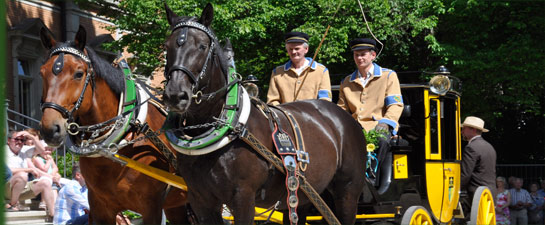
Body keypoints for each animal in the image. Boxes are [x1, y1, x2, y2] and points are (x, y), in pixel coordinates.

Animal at [162, 3, 366, 223]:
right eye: (166, 46)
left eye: (202, 46)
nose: (175, 95)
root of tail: (345, 117)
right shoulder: (201, 200)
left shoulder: (243, 197)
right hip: (303, 195)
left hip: (347, 192)